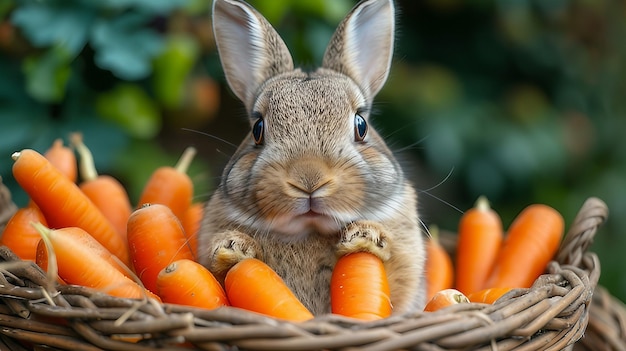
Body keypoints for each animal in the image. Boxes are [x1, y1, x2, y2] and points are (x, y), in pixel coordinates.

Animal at [197, 0, 426, 318]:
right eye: (257, 129)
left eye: (361, 125)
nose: (309, 179)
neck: (309, 232)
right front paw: (233, 248)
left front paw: (365, 236)